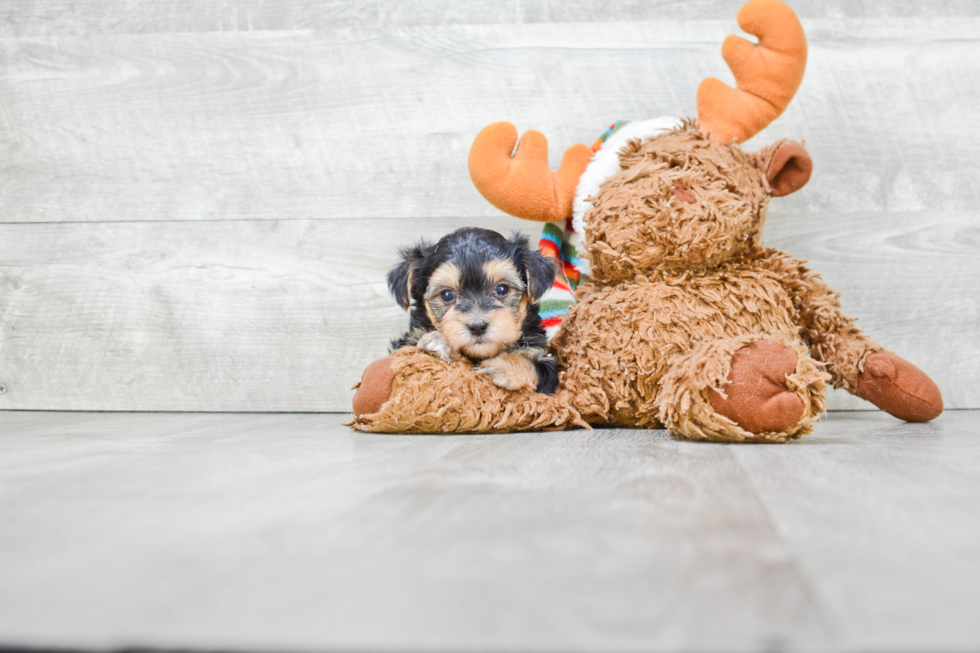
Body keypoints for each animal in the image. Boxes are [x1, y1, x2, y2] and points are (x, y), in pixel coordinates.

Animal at [388, 228, 560, 392]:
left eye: (502, 289)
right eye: (447, 295)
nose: (477, 326)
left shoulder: (544, 359)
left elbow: (534, 365)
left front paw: (501, 366)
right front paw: (439, 343)